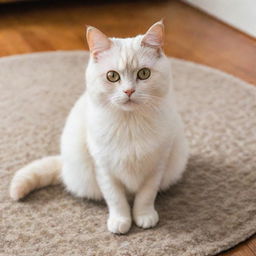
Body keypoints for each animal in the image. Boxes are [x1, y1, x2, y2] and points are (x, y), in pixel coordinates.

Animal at [9, 20, 188, 234]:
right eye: (112, 76)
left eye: (144, 74)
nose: (129, 91)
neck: (130, 124)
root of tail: (64, 164)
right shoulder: (103, 167)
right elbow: (116, 198)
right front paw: (121, 221)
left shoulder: (157, 165)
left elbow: (146, 195)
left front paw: (143, 216)